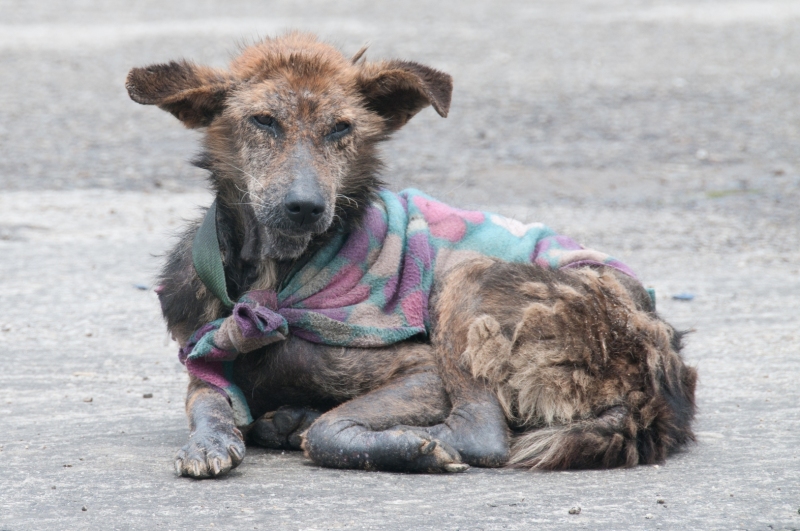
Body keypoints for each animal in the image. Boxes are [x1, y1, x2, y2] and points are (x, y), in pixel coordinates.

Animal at [123, 34, 692, 482]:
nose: (304, 206)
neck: (277, 278)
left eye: (341, 128)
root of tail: (662, 387)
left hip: (467, 276)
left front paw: (387, 440)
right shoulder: (208, 361)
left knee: (486, 437)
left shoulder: (425, 369)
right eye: (263, 120)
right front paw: (208, 441)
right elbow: (206, 405)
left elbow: (331, 430)